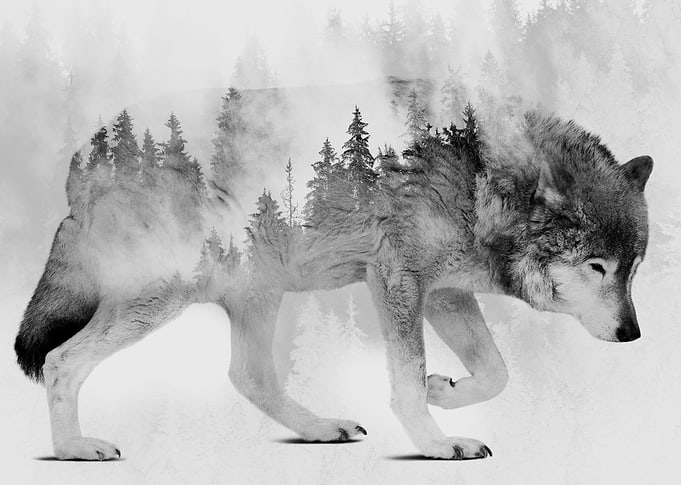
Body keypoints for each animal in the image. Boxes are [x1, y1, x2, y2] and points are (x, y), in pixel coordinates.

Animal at [15, 108, 652, 461]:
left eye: (633, 267)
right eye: (597, 266)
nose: (633, 334)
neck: (478, 189)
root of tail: (82, 164)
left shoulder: (444, 292)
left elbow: (496, 372)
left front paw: (446, 390)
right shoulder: (396, 278)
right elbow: (407, 380)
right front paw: (438, 443)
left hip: (258, 294)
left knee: (248, 377)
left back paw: (321, 429)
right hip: (161, 298)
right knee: (62, 361)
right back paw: (75, 450)